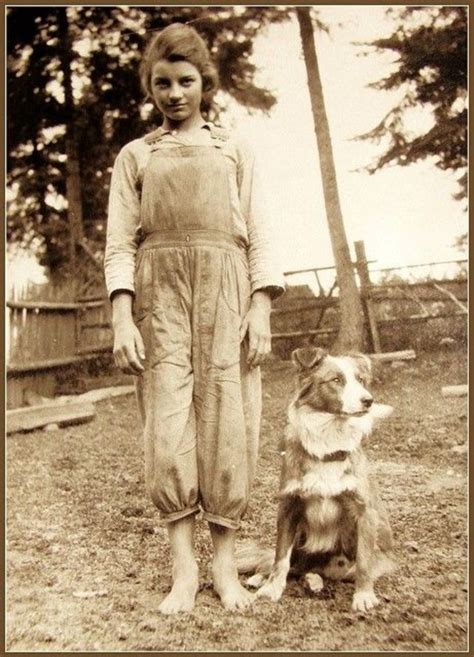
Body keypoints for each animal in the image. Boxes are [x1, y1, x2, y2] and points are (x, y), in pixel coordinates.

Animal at [237, 346, 396, 612]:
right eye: (336, 380)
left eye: (360, 380)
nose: (368, 400)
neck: (328, 447)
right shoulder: (289, 505)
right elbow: (280, 557)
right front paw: (271, 588)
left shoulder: (364, 511)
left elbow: (364, 562)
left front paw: (364, 596)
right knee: (286, 565)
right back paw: (262, 578)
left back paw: (314, 581)